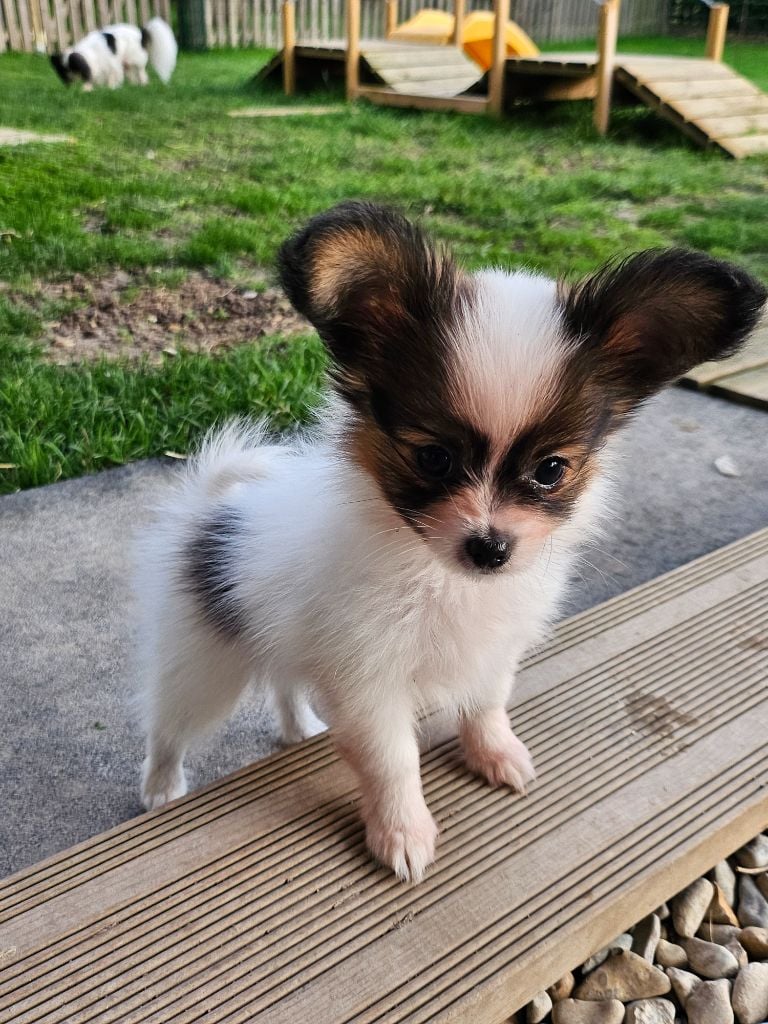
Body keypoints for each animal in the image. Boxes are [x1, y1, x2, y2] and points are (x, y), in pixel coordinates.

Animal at [135, 199, 765, 880]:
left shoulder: (491, 651)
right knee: (169, 726)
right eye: (433, 458)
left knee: (284, 682)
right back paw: (162, 790)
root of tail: (214, 506)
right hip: (204, 662)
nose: (489, 548)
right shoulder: (368, 680)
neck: (441, 578)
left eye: (551, 470)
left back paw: (298, 726)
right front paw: (402, 832)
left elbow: (487, 705)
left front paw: (496, 753)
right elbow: (392, 759)